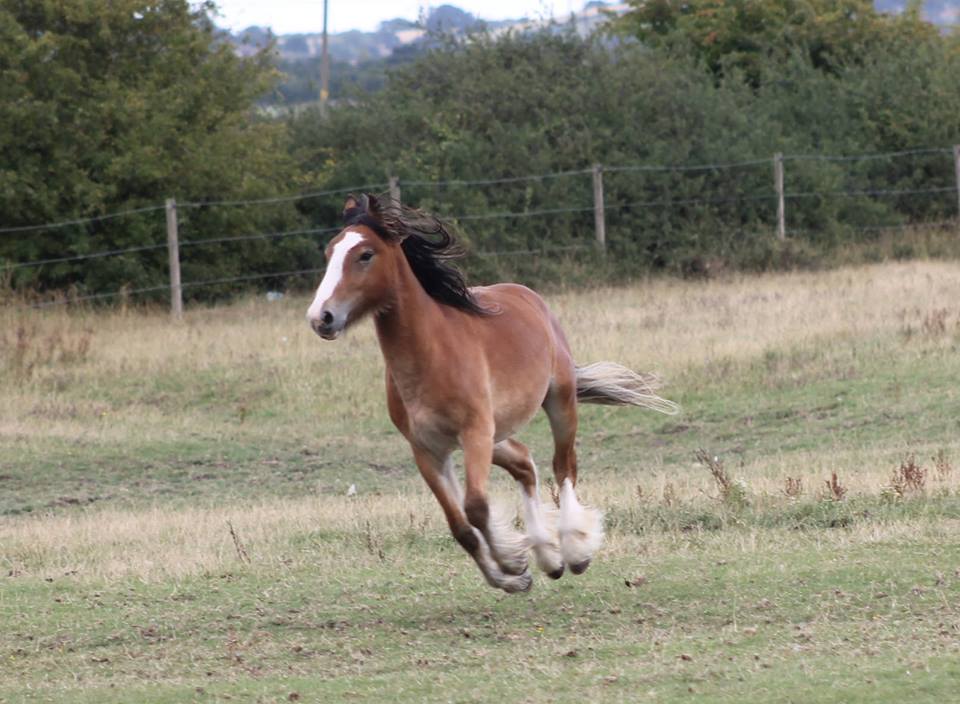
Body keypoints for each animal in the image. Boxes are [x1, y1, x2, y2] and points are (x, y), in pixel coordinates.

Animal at [308, 194, 676, 592]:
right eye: (329, 253)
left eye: (365, 254)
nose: (321, 317)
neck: (431, 354)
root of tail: (527, 294)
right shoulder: (428, 449)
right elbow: (461, 526)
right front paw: (513, 577)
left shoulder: (474, 433)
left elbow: (476, 507)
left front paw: (513, 562)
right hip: (496, 435)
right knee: (525, 464)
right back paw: (549, 557)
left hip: (557, 403)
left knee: (563, 467)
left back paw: (574, 552)